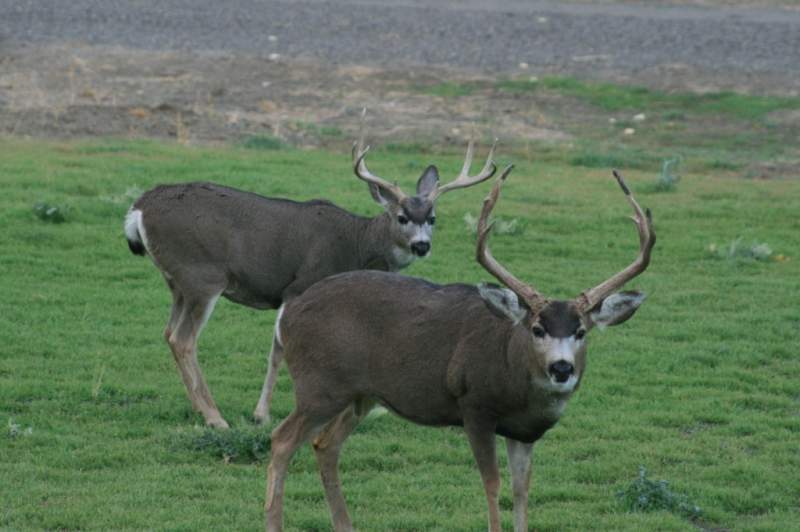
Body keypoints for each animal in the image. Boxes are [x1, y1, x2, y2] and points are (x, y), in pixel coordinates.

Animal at [264, 166, 656, 532]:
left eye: (581, 331)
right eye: (537, 328)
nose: (561, 368)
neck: (514, 373)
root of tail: (287, 318)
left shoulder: (524, 431)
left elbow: (521, 489)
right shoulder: (475, 407)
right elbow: (492, 483)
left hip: (361, 394)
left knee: (325, 445)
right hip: (319, 386)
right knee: (281, 440)